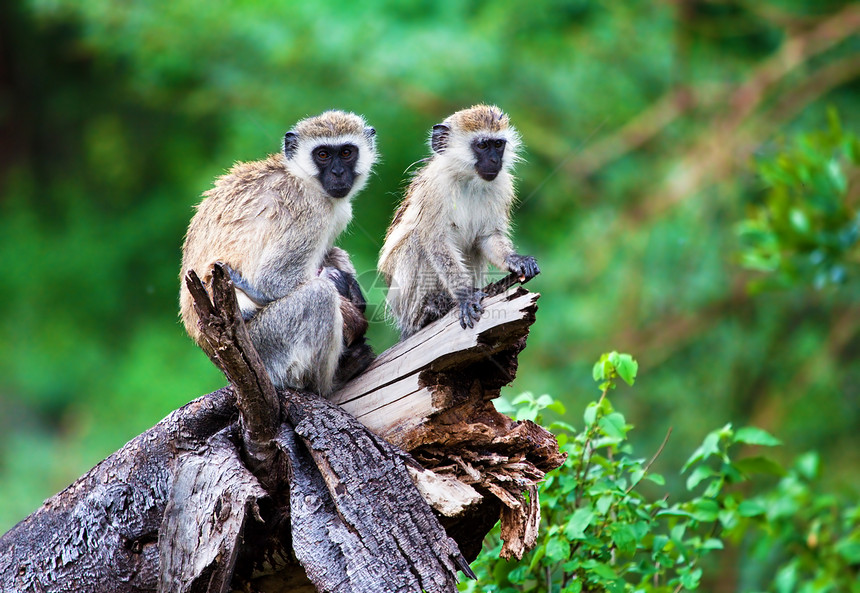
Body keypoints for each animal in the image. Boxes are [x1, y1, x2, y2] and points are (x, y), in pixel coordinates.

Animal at [181, 108, 376, 396]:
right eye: (323, 154)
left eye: (346, 152)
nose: (339, 173)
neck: (301, 177)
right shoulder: (310, 211)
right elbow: (274, 280)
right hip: (265, 346)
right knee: (318, 296)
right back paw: (330, 382)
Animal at [378, 104, 536, 340]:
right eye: (482, 145)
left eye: (498, 144)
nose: (495, 161)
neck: (469, 180)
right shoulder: (435, 188)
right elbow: (435, 242)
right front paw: (465, 296)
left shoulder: (502, 186)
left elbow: (487, 237)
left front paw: (516, 259)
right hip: (401, 302)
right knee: (416, 242)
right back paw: (428, 311)